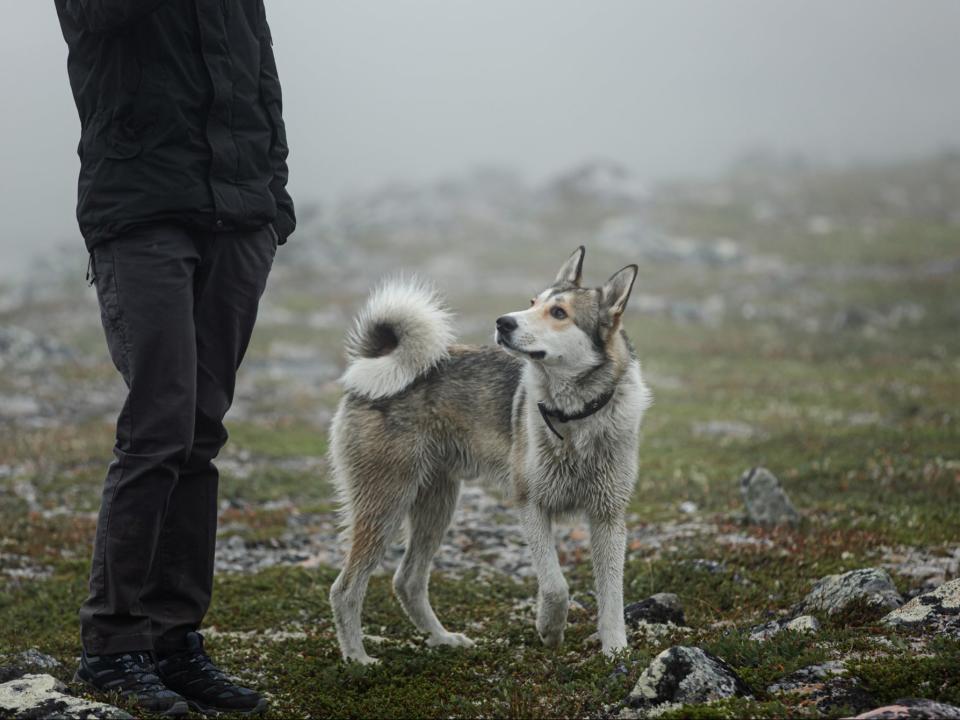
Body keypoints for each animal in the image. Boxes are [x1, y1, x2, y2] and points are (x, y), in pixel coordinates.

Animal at [328, 248, 652, 664]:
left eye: (558, 312)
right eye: (532, 303)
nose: (503, 322)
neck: (575, 417)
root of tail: (374, 366)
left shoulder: (608, 517)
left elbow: (612, 596)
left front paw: (616, 651)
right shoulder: (531, 506)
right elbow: (556, 586)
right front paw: (549, 629)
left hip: (436, 505)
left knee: (407, 581)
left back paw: (443, 639)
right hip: (385, 504)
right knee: (346, 588)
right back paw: (357, 659)